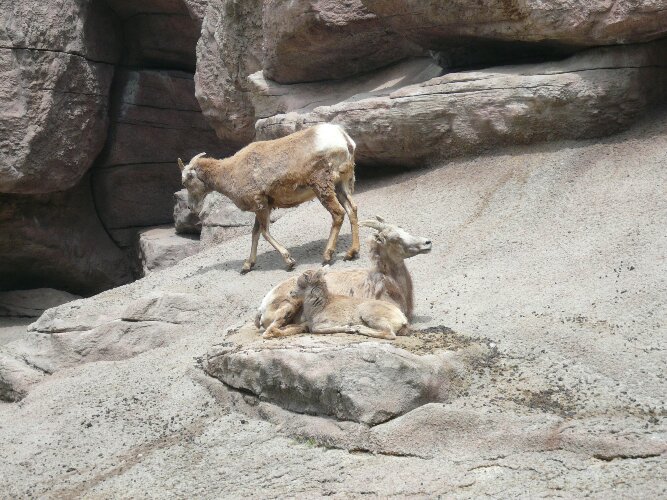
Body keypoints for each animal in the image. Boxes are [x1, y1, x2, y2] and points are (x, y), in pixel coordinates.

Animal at [178, 124, 359, 273]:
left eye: (186, 181)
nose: (192, 208)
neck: (230, 172)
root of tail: (343, 138)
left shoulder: (261, 205)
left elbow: (264, 232)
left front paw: (289, 261)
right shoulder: (263, 206)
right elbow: (255, 233)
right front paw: (247, 265)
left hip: (322, 185)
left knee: (338, 214)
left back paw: (327, 256)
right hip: (341, 185)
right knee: (352, 210)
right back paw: (351, 253)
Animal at [266, 269, 408, 340]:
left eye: (301, 283)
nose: (291, 292)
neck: (320, 306)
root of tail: (402, 318)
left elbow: (315, 329)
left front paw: (349, 328)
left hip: (369, 314)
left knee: (389, 334)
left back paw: (359, 329)